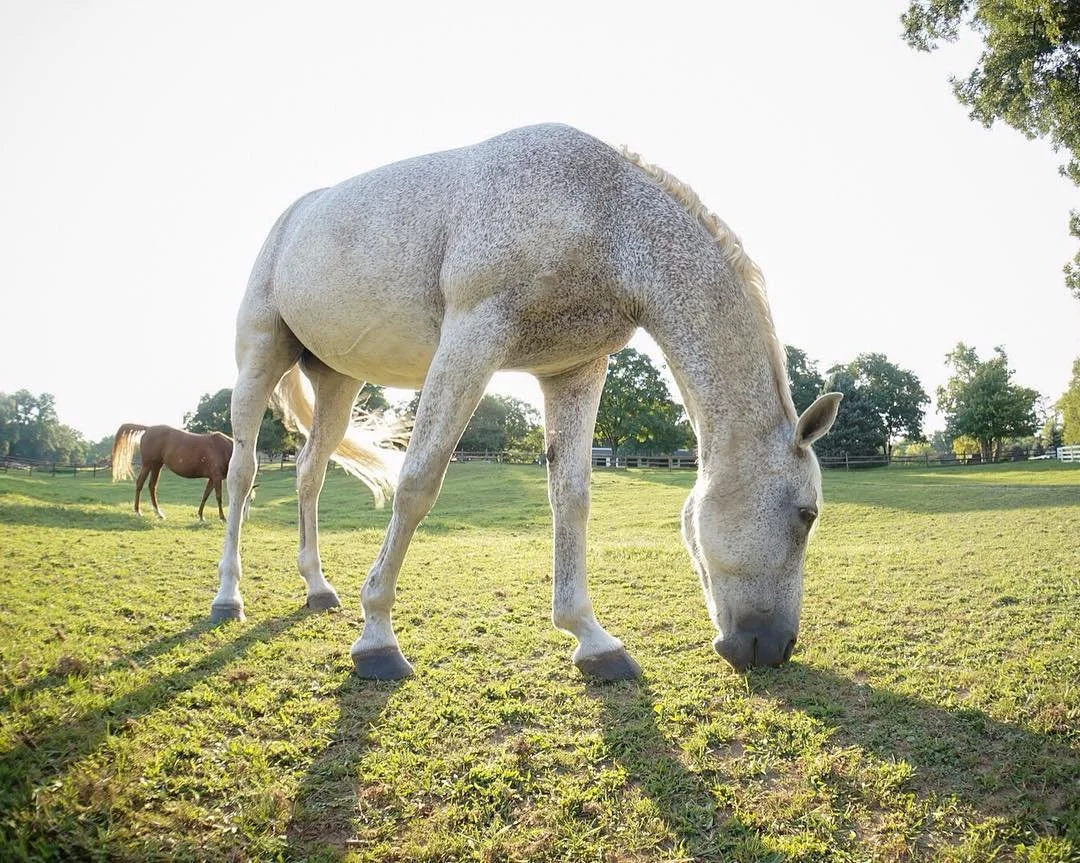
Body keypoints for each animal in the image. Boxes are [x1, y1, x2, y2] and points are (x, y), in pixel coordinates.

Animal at [212, 124, 841, 681]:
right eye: (806, 514)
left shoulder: (572, 370)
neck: (601, 212)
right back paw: (228, 598)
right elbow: (418, 483)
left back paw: (318, 588)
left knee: (308, 473)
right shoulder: (472, 338)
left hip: (338, 382)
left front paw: (593, 640)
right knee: (242, 473)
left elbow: (571, 498)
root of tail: (294, 217)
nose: (774, 647)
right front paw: (377, 639)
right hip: (261, 356)